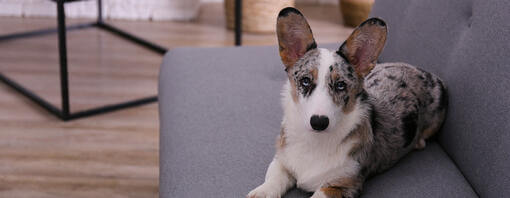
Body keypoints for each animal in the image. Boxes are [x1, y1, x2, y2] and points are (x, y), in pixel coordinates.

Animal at [247, 7, 446, 198]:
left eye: (341, 85)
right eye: (305, 81)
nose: (319, 122)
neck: (315, 141)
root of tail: (423, 71)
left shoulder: (342, 185)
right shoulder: (281, 161)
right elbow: (274, 179)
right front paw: (261, 192)